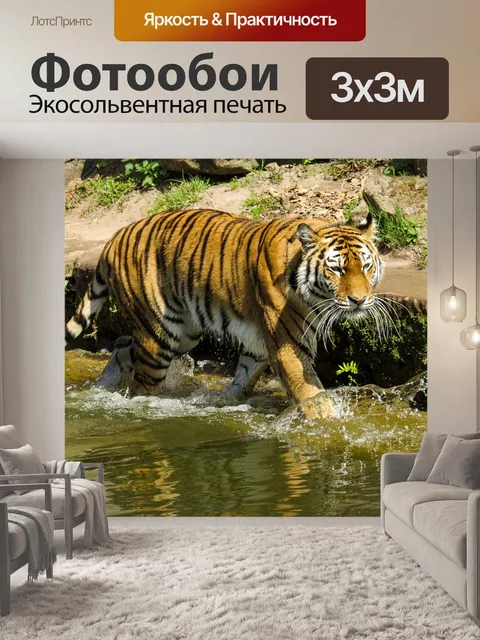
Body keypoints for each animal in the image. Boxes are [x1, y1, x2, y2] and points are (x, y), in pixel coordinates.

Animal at [65, 208, 407, 417]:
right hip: (159, 335)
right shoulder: (288, 346)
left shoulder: (260, 345)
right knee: (141, 382)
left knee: (123, 345)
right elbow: (310, 393)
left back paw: (103, 385)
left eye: (366, 266)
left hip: (184, 332)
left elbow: (244, 377)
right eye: (336, 269)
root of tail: (115, 236)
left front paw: (225, 400)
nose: (360, 300)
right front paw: (329, 425)